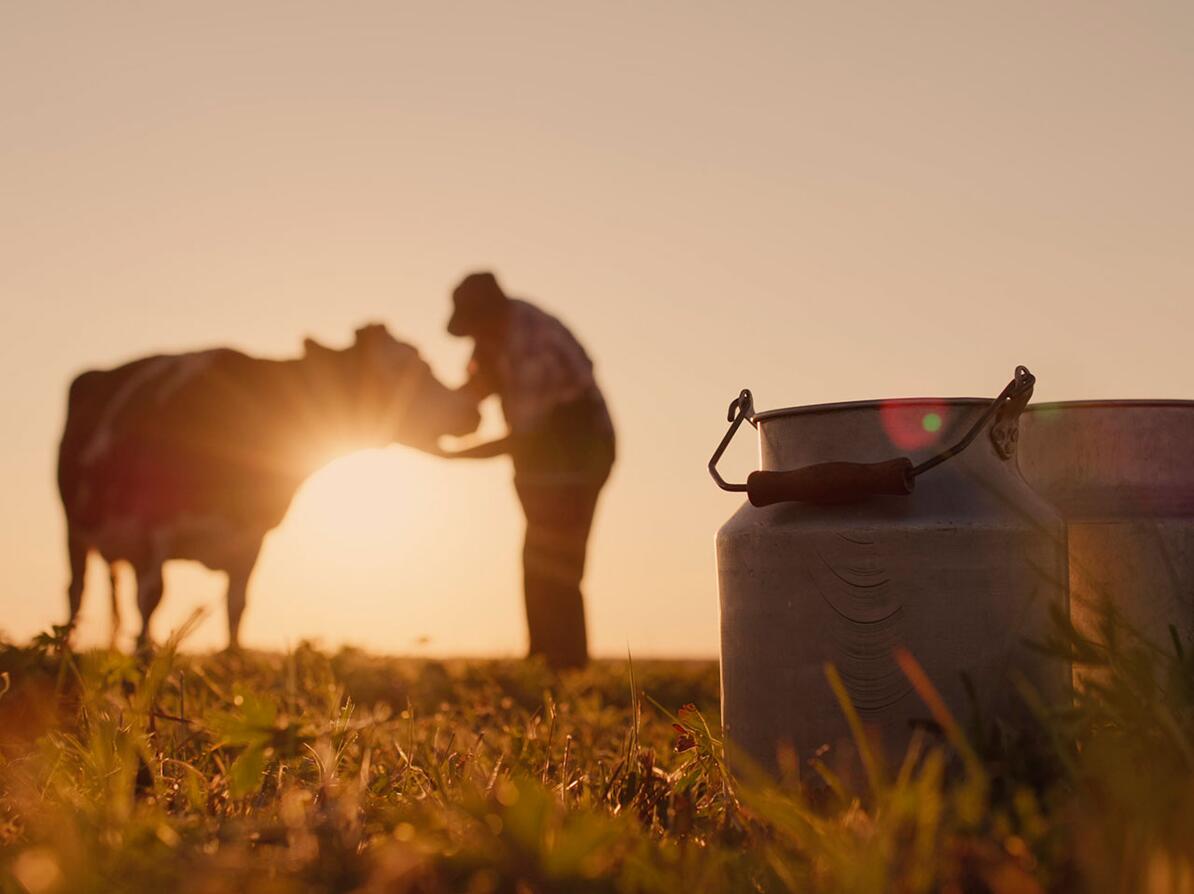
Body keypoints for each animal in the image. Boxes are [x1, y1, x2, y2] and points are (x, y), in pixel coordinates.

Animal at [58, 324, 479, 644]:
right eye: (396, 368)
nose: (470, 409)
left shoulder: (251, 538)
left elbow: (236, 608)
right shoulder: (154, 530)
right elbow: (151, 602)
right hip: (75, 529)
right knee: (76, 592)